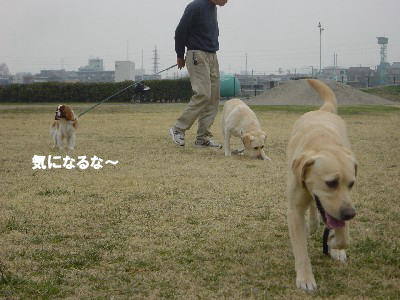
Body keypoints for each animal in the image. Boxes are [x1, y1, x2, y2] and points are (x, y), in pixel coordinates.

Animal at [288, 79, 356, 290]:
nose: (351, 214)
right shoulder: (294, 209)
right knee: (311, 207)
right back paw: (312, 224)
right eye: (331, 183)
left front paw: (335, 245)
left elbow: (343, 236)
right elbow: (300, 249)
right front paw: (305, 278)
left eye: (351, 184)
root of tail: (323, 110)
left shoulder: (344, 203)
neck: (323, 142)